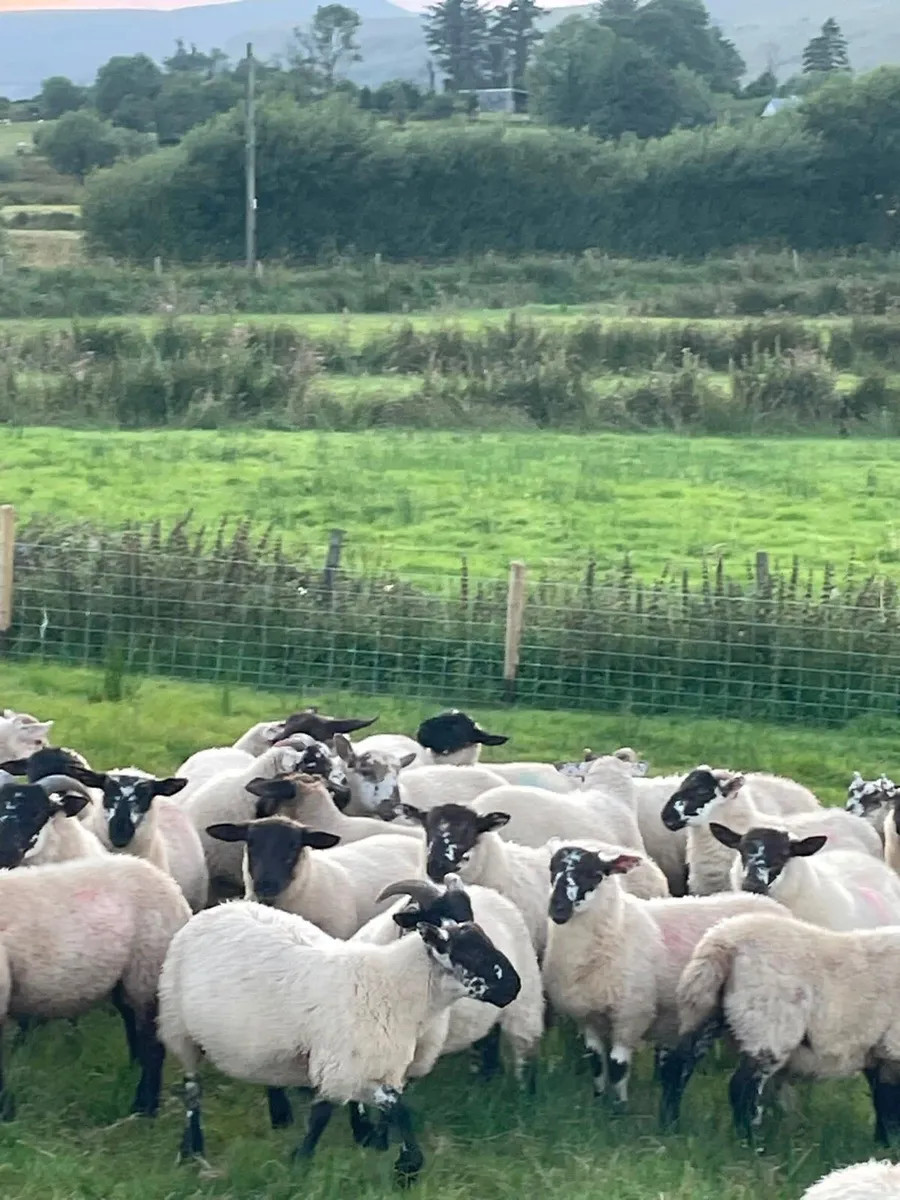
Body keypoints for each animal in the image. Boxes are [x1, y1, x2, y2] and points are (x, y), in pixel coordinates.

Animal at [0, 854, 190, 1119]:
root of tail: (172, 886)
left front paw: (6, 1112)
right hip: (126, 981)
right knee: (134, 1032)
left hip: (148, 969)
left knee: (152, 1047)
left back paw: (144, 1109)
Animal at [157, 898, 521, 1182]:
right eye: (472, 954)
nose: (514, 987)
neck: (393, 986)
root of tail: (217, 907)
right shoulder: (341, 1064)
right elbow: (331, 1113)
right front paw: (301, 1162)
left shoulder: (375, 1066)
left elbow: (389, 1109)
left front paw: (396, 1160)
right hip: (178, 1029)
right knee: (192, 1090)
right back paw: (192, 1149)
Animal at [542, 842, 788, 1127]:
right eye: (552, 870)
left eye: (594, 874)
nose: (558, 909)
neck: (617, 926)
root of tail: (773, 905)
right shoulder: (588, 1017)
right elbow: (595, 1063)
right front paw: (597, 1104)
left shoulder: (630, 1015)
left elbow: (617, 1067)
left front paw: (617, 1112)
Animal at [676, 910, 900, 1145]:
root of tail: (723, 942)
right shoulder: (893, 1049)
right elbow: (890, 1105)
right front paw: (889, 1145)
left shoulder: (878, 1052)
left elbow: (882, 1102)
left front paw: (882, 1143)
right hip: (767, 1023)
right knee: (741, 1087)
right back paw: (750, 1144)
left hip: (703, 1008)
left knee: (678, 1065)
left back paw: (671, 1126)